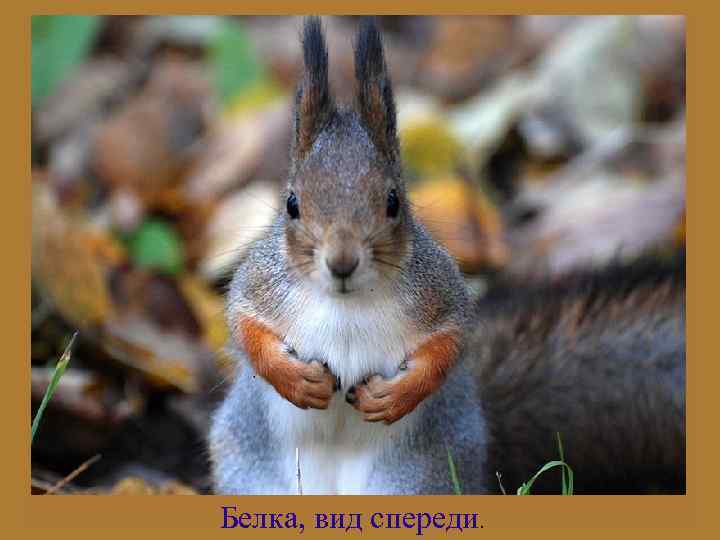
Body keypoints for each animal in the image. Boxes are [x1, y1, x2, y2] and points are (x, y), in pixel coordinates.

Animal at [209, 16, 685, 495]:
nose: (342, 263)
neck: (347, 302)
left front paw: (397, 396)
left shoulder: (439, 292)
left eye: (393, 202)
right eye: (292, 203)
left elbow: (450, 342)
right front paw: (294, 379)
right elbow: (243, 324)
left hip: (417, 482)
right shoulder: (263, 283)